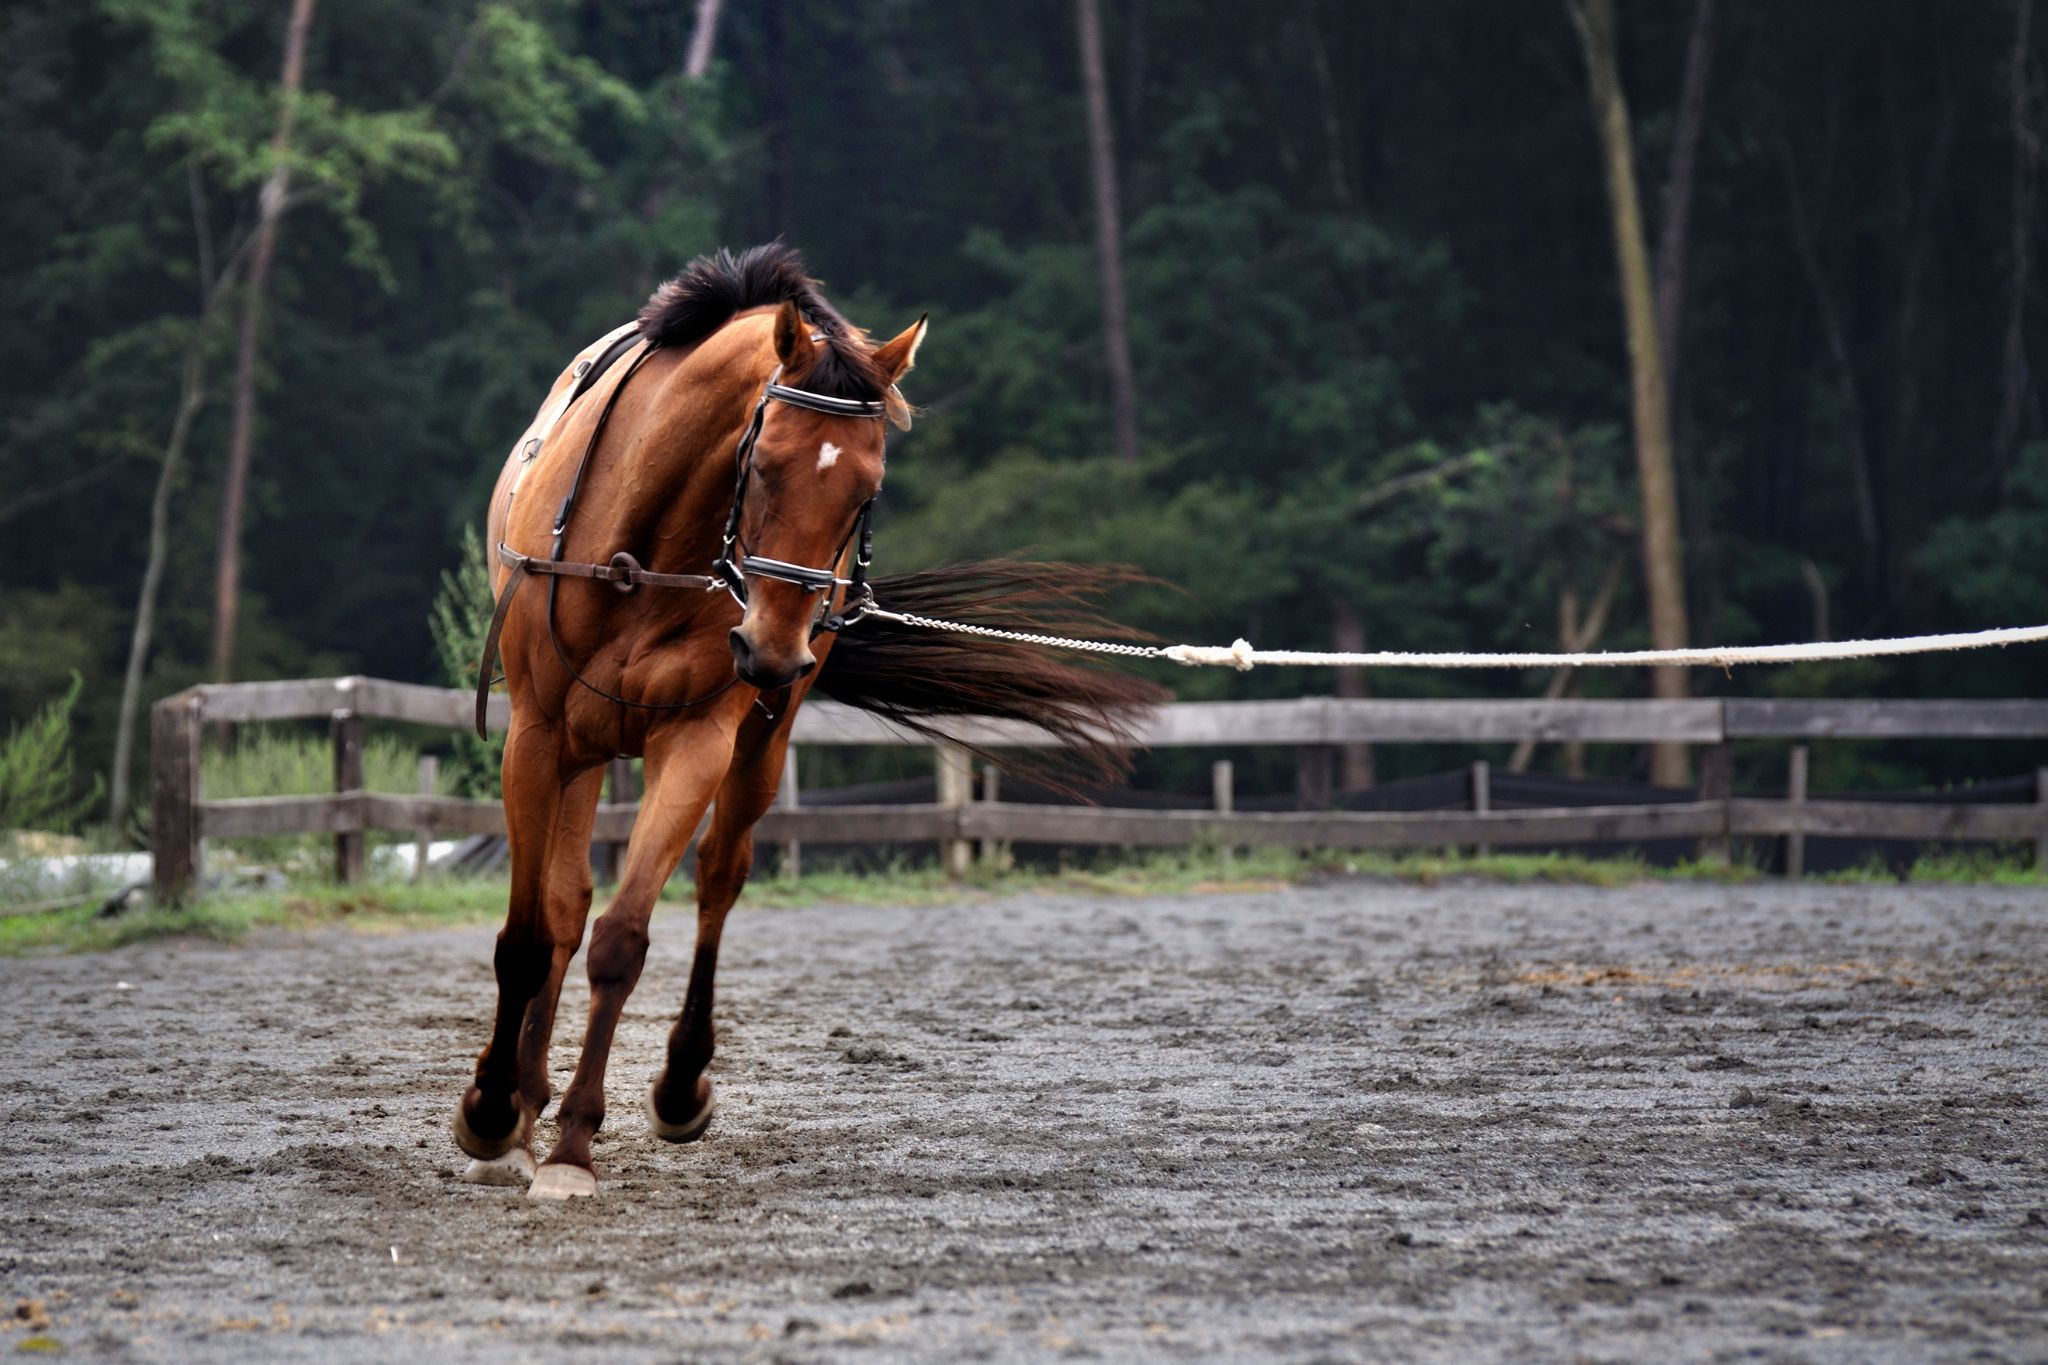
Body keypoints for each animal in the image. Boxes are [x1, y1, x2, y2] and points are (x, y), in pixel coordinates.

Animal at [458, 248, 1163, 1203]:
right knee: (562, 907)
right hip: (582, 748)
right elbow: (529, 938)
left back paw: (670, 1085)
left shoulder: (698, 740)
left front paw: (573, 1145)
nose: (775, 647)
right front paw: (493, 1113)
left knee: (717, 879)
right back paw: (522, 1102)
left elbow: (623, 939)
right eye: (763, 464)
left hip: (755, 740)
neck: (639, 550)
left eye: (867, 489)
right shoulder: (535, 736)